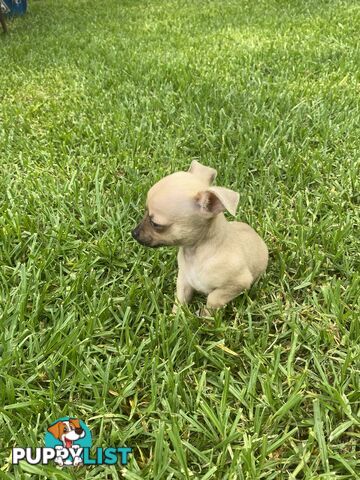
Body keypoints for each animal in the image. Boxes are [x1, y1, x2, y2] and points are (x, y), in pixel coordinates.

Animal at [132, 160, 268, 312]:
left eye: (155, 224)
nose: (134, 233)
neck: (196, 254)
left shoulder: (238, 283)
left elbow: (213, 298)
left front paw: (206, 315)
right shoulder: (184, 280)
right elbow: (180, 300)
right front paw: (175, 316)